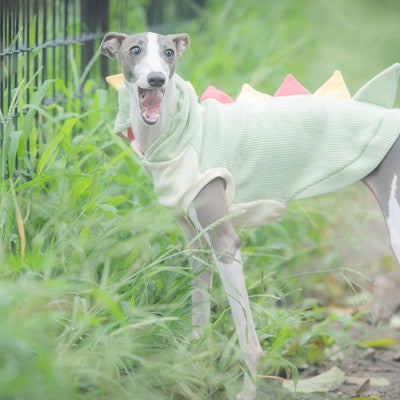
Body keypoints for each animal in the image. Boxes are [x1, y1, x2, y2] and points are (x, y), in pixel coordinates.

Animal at [101, 32, 400, 400]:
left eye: (169, 53)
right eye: (135, 50)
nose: (156, 79)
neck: (181, 132)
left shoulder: (226, 242)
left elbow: (248, 338)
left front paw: (245, 390)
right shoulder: (197, 244)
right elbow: (199, 320)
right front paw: (194, 372)